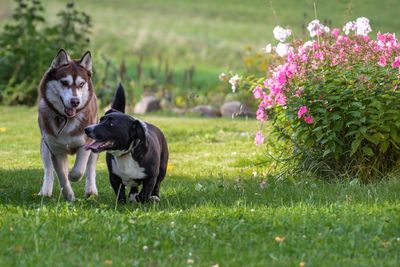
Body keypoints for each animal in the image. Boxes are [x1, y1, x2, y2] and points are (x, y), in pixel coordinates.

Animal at [37, 49, 98, 202]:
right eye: (64, 82)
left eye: (81, 84)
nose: (75, 101)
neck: (66, 119)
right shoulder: (55, 149)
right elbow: (61, 176)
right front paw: (68, 195)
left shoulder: (86, 143)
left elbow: (79, 169)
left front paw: (73, 176)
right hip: (45, 146)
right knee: (48, 169)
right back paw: (45, 191)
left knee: (90, 168)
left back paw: (91, 190)